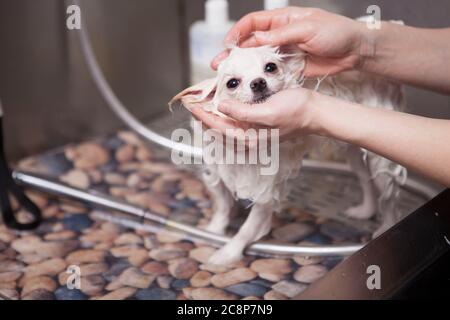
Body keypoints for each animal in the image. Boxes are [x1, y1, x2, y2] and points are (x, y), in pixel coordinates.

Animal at [171, 41, 406, 264]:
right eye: (232, 83)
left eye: (270, 67)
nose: (258, 82)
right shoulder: (216, 171)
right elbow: (221, 206)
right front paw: (214, 230)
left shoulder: (265, 191)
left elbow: (247, 229)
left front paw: (228, 253)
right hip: (354, 149)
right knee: (366, 179)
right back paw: (366, 210)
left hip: (379, 158)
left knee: (389, 196)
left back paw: (387, 226)